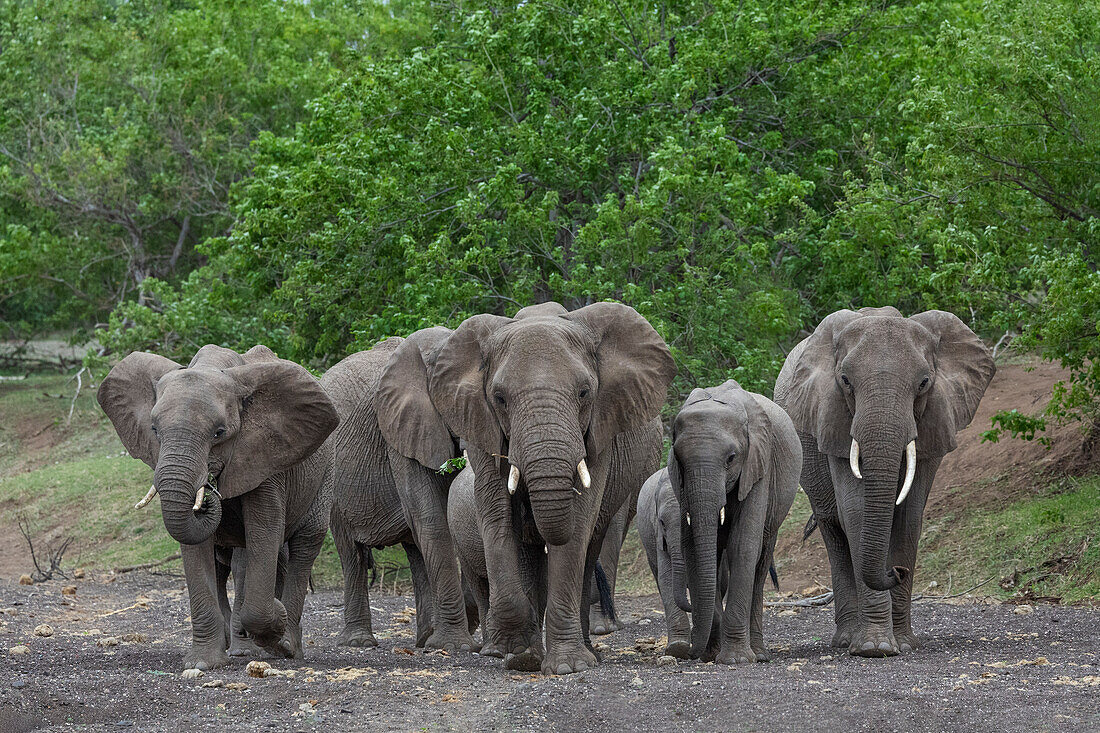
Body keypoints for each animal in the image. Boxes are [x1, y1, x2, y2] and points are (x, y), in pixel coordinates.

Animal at [98, 343, 338, 669]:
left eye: (219, 433)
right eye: (155, 430)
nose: (210, 487)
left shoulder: (266, 459)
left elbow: (264, 531)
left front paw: (275, 626)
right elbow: (196, 548)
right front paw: (202, 663)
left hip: (325, 475)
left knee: (303, 547)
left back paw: (287, 646)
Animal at [321, 334, 477, 647]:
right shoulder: (400, 431)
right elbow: (433, 518)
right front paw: (453, 646)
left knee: (415, 550)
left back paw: (424, 639)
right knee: (352, 554)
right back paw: (359, 642)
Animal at [426, 299, 673, 669]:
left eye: (584, 393)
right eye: (499, 398)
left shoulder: (600, 427)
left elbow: (579, 522)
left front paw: (569, 666)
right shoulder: (481, 424)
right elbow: (496, 515)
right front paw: (517, 653)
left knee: (589, 548)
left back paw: (586, 652)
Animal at [655, 383, 805, 660]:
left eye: (731, 458)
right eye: (678, 460)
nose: (690, 652)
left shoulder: (760, 464)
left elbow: (742, 546)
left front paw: (736, 658)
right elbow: (696, 550)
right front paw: (710, 653)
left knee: (761, 561)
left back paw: (759, 653)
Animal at [774, 308, 998, 655]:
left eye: (924, 383)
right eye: (845, 381)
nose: (897, 571)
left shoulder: (935, 418)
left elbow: (909, 515)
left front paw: (904, 644)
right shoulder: (834, 418)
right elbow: (855, 512)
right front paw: (874, 647)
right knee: (833, 527)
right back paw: (845, 640)